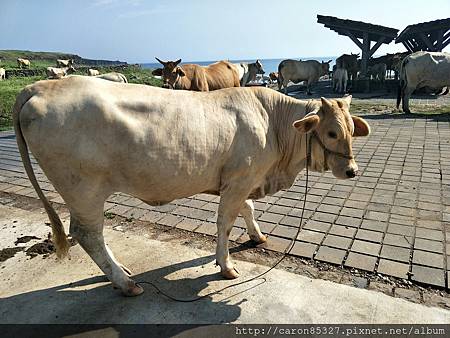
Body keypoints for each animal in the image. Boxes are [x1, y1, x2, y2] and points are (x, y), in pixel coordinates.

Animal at [14, 77, 370, 296]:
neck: (273, 122)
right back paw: (125, 283)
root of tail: (42, 85)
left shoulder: (240, 180)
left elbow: (248, 209)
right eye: (332, 133)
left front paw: (257, 236)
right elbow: (225, 223)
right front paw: (226, 266)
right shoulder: (240, 180)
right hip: (83, 191)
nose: (352, 170)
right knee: (88, 234)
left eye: (352, 130)